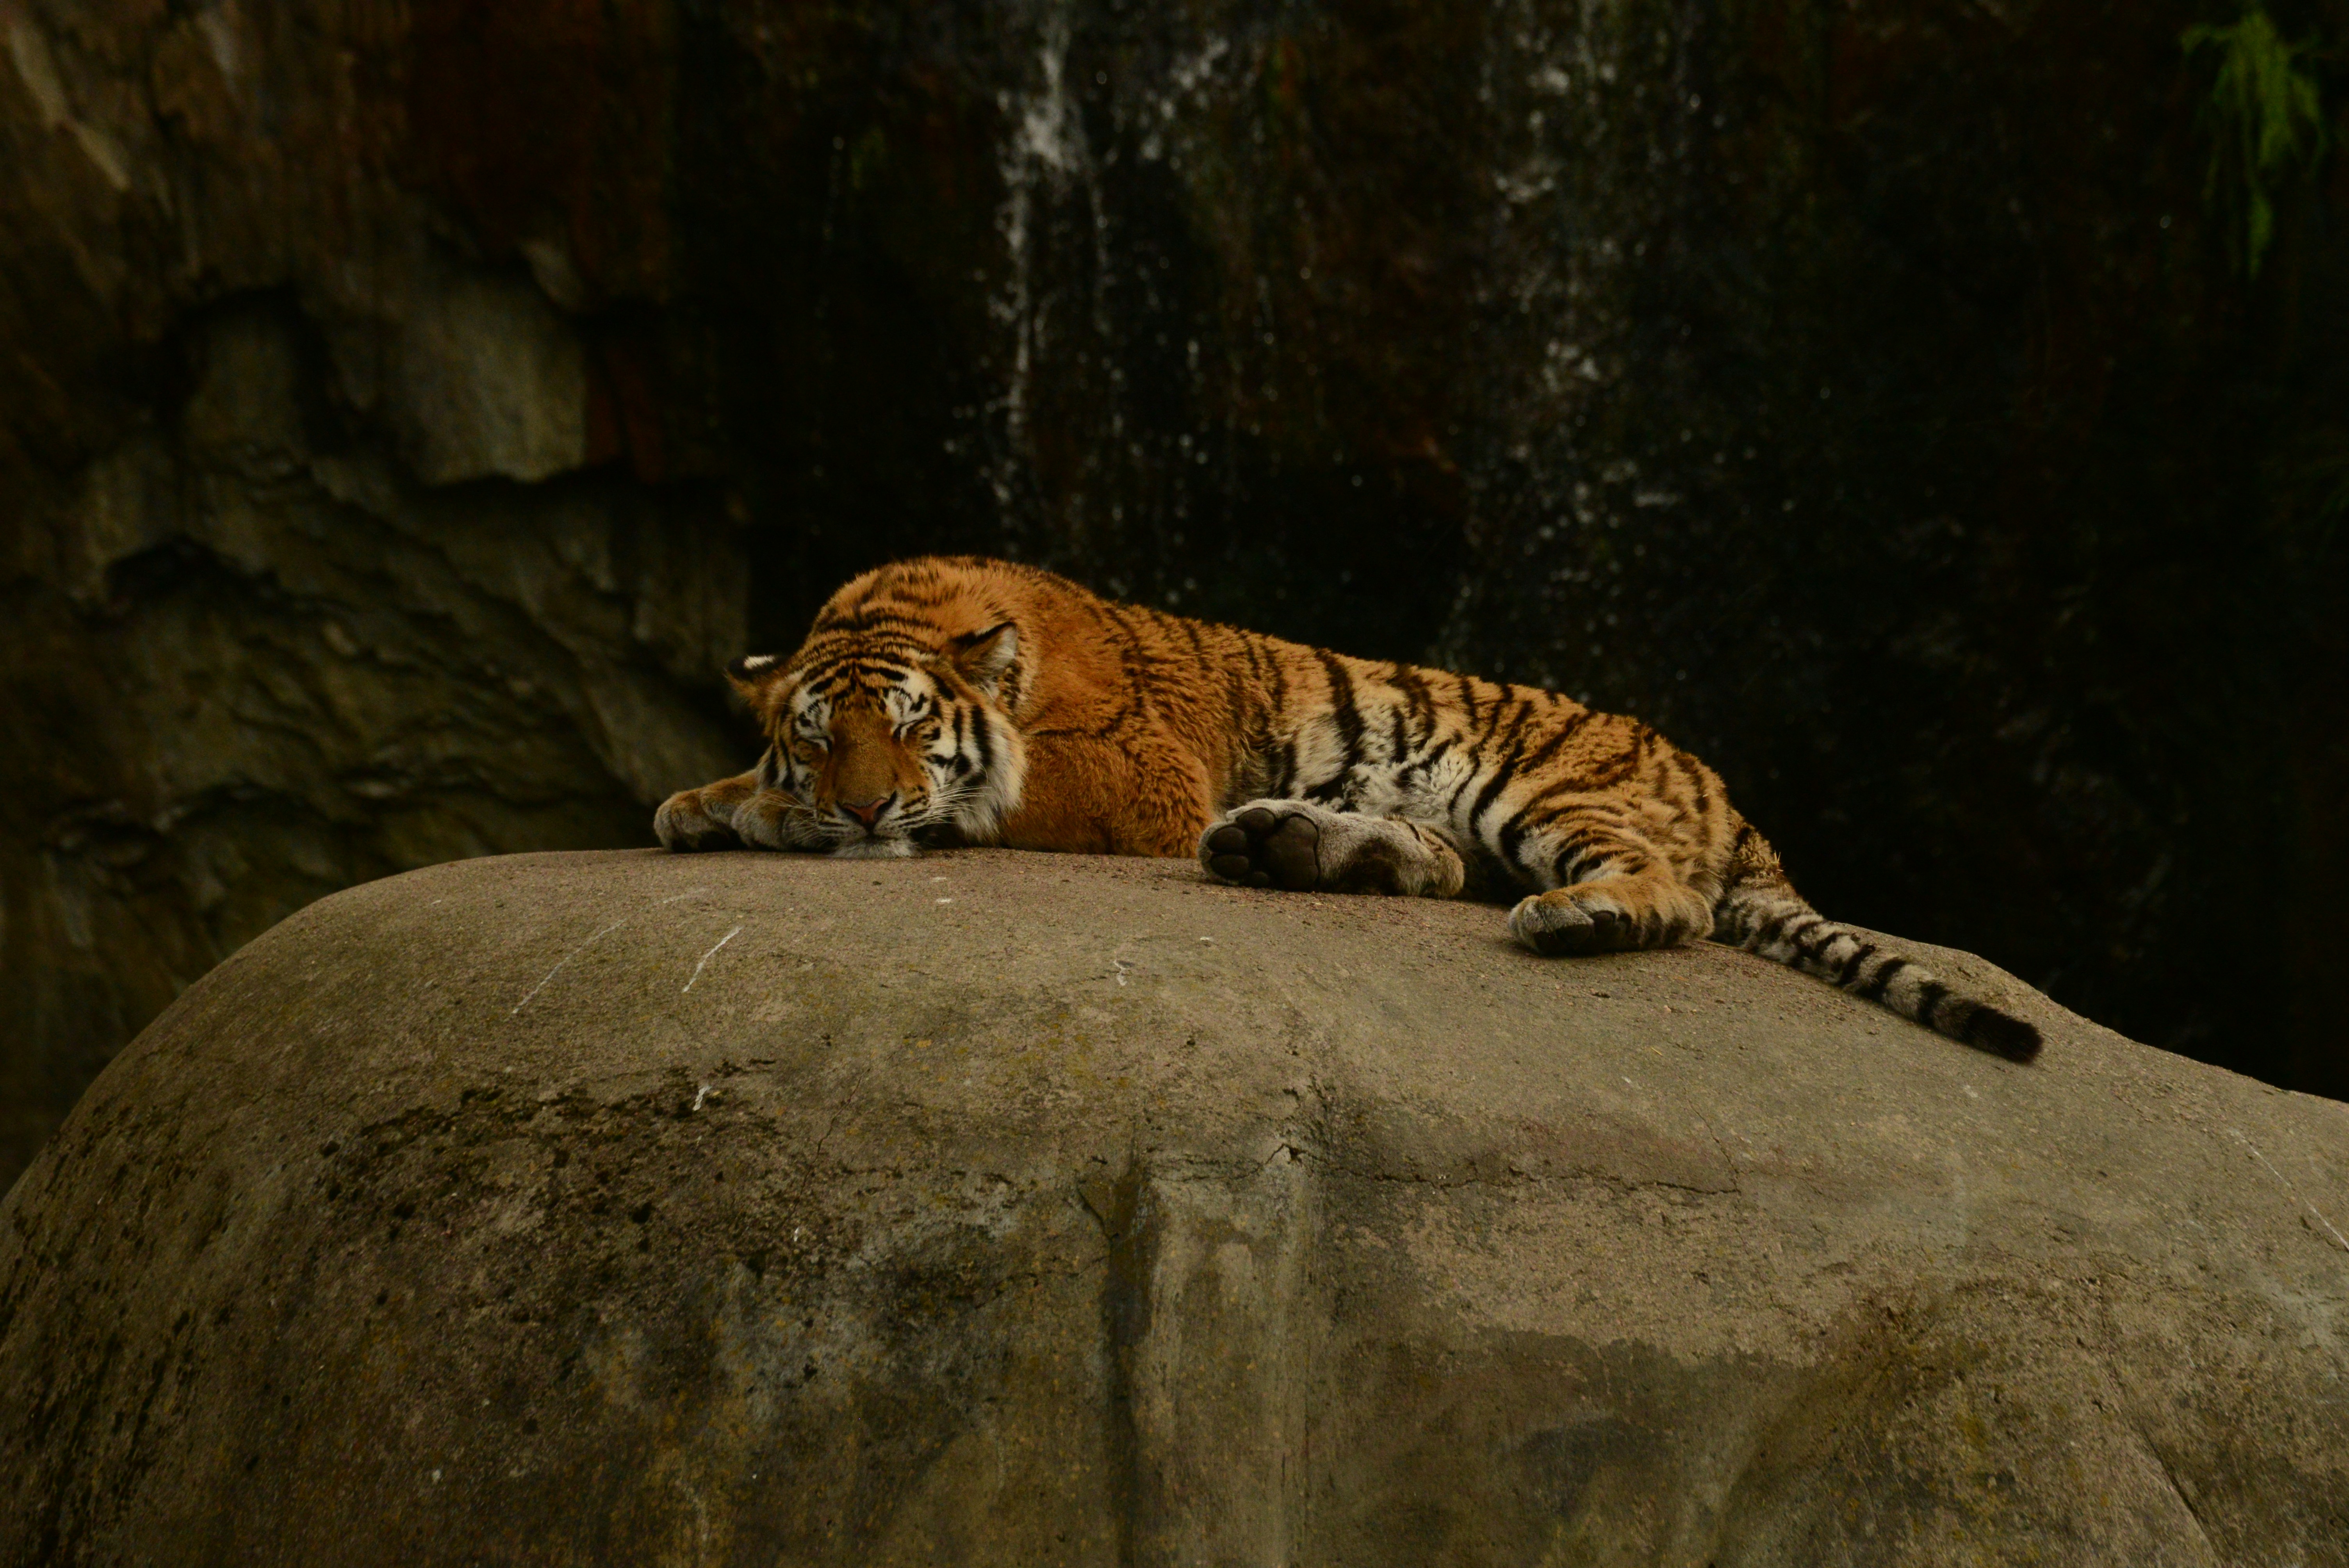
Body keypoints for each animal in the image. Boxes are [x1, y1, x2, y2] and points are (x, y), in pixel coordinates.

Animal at [655, 555, 2041, 1061]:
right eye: (820, 737)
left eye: (907, 731)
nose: (859, 813)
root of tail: (1730, 795)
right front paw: (707, 799)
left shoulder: (1136, 773)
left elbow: (992, 794)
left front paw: (769, 816)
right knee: (1437, 865)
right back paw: (1291, 843)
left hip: (1546, 788)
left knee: (1666, 897)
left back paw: (1574, 918)